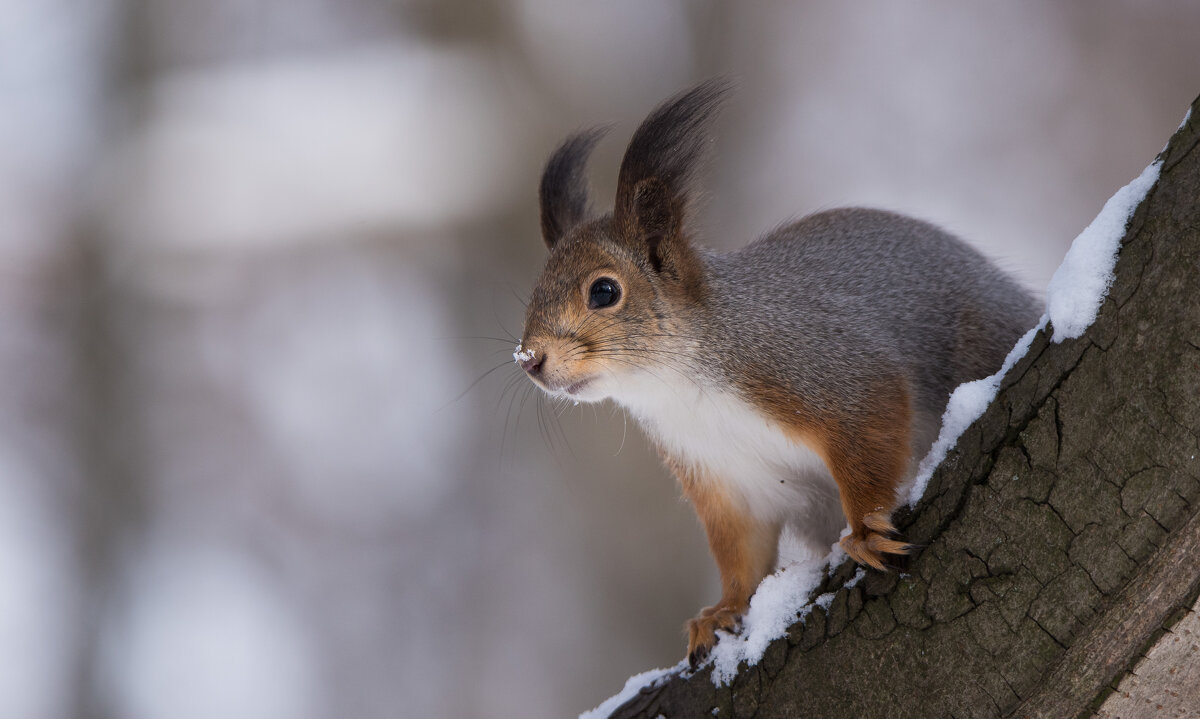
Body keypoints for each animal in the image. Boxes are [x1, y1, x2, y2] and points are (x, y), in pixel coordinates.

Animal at [516, 80, 1041, 667]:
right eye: (535, 288)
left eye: (604, 291)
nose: (529, 359)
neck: (677, 388)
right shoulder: (721, 475)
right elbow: (741, 552)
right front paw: (721, 610)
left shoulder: (820, 369)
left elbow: (869, 436)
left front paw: (866, 531)